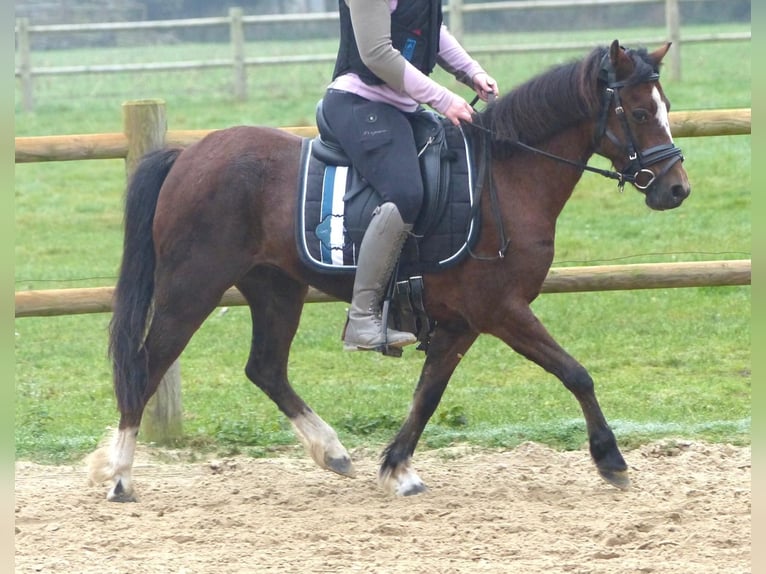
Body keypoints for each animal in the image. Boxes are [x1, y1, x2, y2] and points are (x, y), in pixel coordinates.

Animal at [88, 40, 688, 502]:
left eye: (665, 106)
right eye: (639, 114)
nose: (677, 188)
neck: (506, 178)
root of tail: (186, 157)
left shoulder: (461, 324)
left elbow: (428, 395)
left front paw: (398, 468)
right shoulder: (502, 311)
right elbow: (576, 374)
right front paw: (610, 459)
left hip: (275, 288)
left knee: (265, 368)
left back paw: (331, 451)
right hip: (192, 287)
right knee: (145, 366)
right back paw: (119, 475)